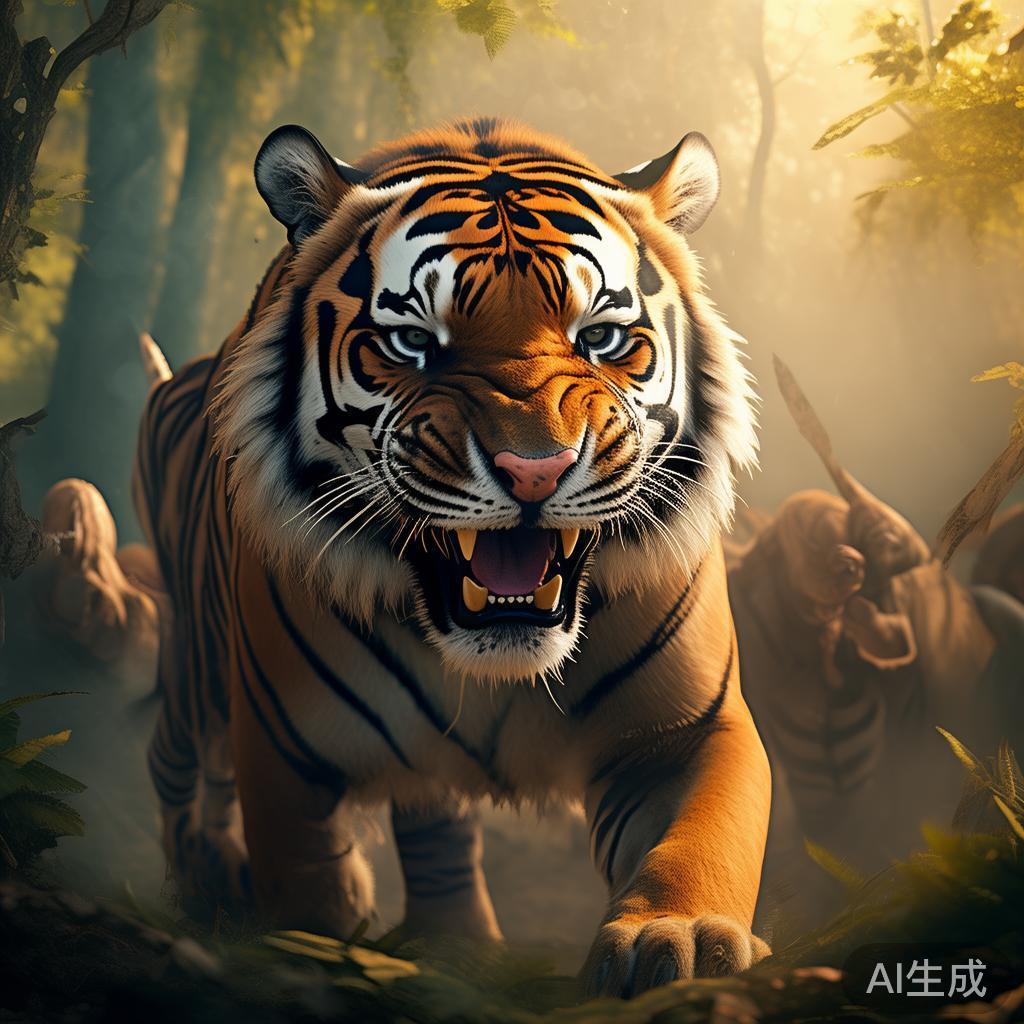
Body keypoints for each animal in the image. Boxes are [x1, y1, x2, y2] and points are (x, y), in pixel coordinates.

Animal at [131, 117, 769, 998]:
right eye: (411, 343)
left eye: (602, 338)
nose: (535, 469)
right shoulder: (287, 754)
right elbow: (306, 882)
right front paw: (313, 952)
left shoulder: (687, 730)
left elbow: (704, 835)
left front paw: (676, 940)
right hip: (195, 670)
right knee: (174, 764)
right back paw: (200, 881)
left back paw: (457, 939)